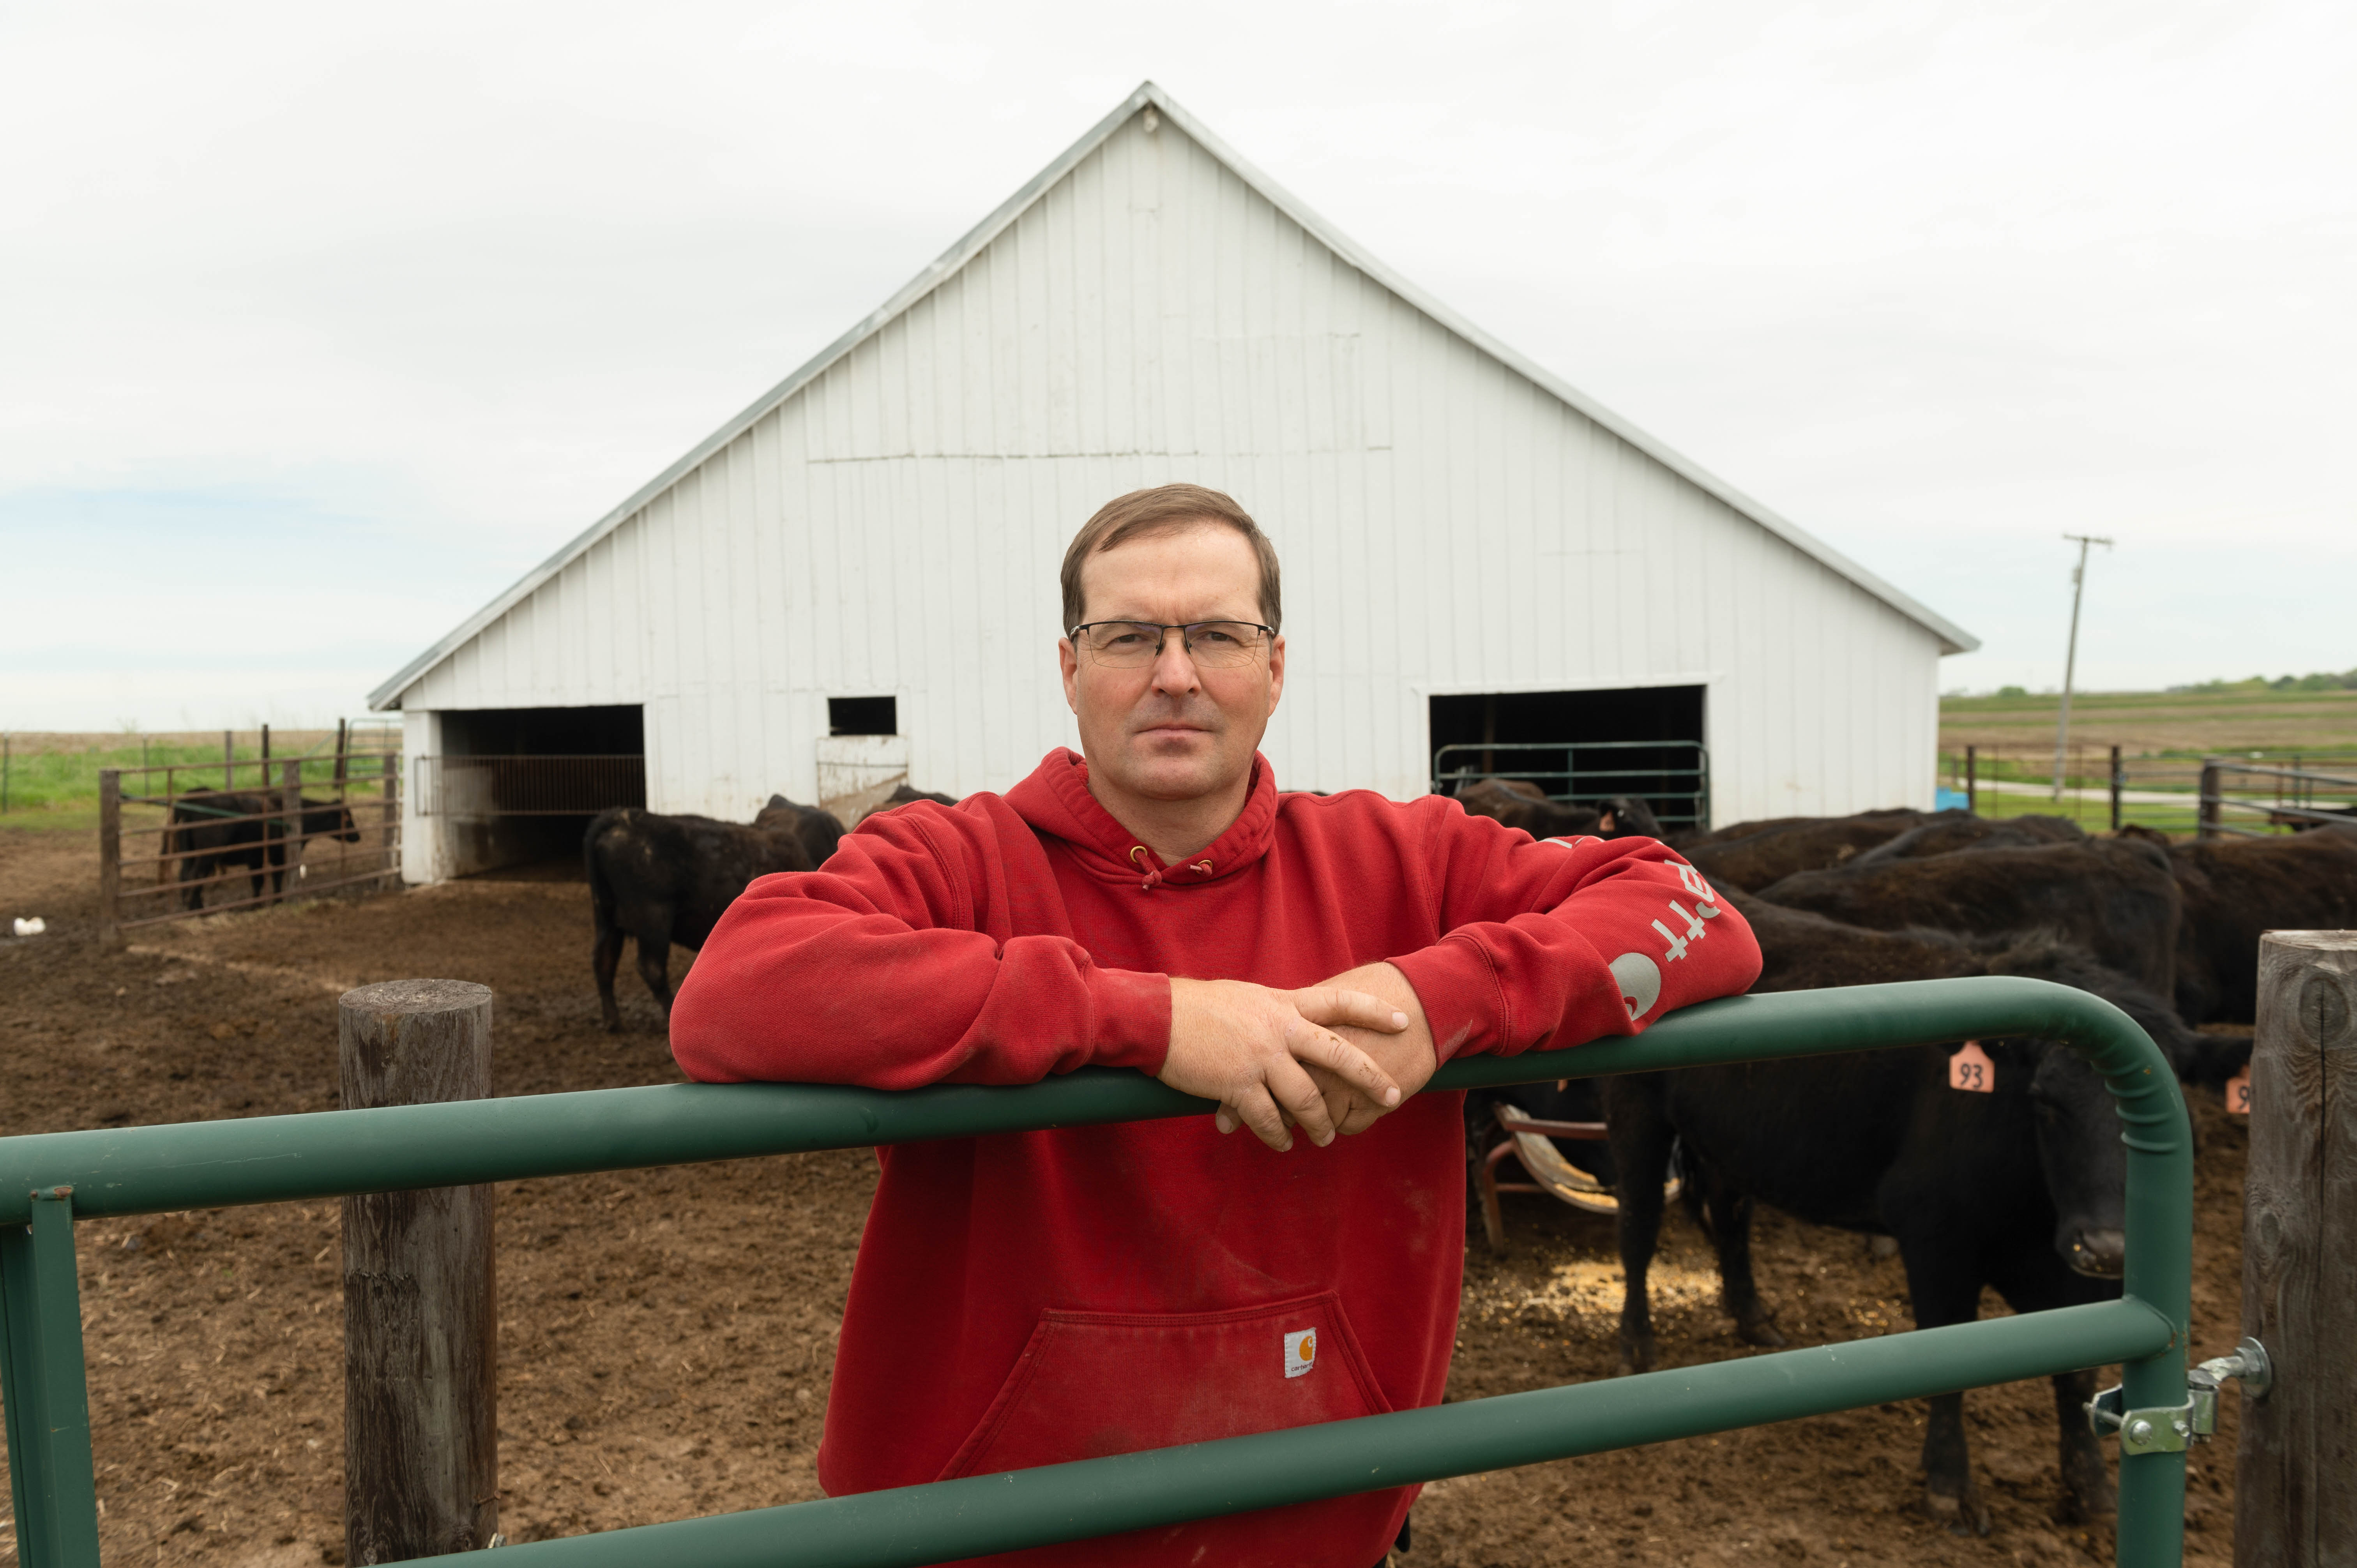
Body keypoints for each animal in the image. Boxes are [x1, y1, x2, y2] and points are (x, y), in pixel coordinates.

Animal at [171, 788, 360, 910]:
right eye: (347, 818)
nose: (357, 836)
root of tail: (191, 799)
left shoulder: (261, 859)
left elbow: (262, 881)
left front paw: (263, 903)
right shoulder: (274, 858)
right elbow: (270, 879)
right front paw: (270, 902)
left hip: (190, 853)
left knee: (185, 876)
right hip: (207, 856)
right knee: (195, 877)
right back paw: (197, 909)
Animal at [584, 806, 815, 1028]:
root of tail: (623, 818)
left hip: (607, 917)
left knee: (604, 960)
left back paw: (613, 1020)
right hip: (653, 917)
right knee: (652, 968)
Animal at [1603, 891, 2206, 1528]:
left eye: (2172, 1109)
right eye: (2046, 1102)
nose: (2107, 1244)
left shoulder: (2079, 1272)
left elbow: (2079, 1371)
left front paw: (2091, 1488)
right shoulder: (1935, 1237)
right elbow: (1946, 1357)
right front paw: (1948, 1485)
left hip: (1728, 1141)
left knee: (1730, 1217)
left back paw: (1753, 1318)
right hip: (1635, 1113)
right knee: (1639, 1226)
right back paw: (1636, 1347)